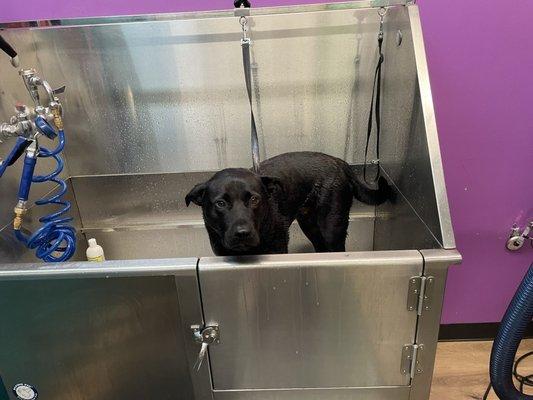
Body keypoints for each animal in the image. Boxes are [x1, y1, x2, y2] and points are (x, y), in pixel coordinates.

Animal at [185, 150, 388, 256]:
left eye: (254, 199)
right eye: (220, 203)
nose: (242, 233)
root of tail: (340, 162)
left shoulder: (279, 249)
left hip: (332, 228)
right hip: (310, 226)